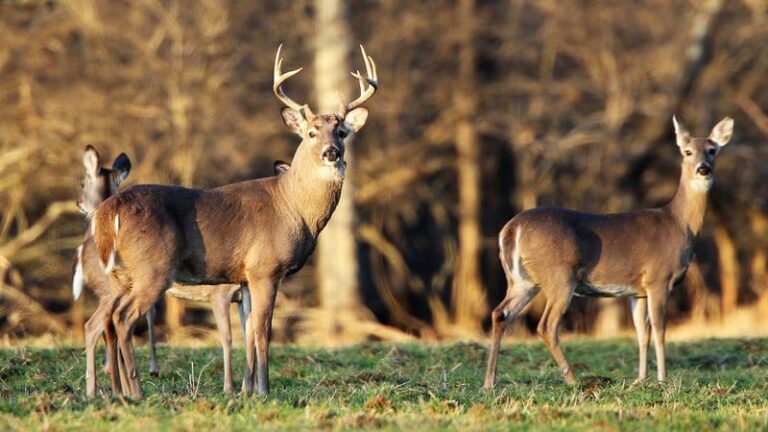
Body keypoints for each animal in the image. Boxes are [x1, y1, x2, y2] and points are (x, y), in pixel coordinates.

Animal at [74, 145, 292, 396]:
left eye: (83, 183)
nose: (79, 203)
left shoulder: (237, 293)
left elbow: (246, 334)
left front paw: (245, 387)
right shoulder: (220, 294)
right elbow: (228, 337)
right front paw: (230, 387)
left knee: (102, 325)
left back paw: (113, 388)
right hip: (112, 288)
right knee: (98, 325)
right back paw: (107, 388)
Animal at [483, 116, 734, 389]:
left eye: (712, 150)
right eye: (687, 151)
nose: (703, 169)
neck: (677, 223)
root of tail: (511, 228)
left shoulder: (638, 291)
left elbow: (641, 333)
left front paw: (641, 379)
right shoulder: (658, 278)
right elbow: (659, 329)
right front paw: (663, 380)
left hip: (523, 280)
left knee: (500, 313)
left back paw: (489, 382)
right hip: (559, 275)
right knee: (546, 325)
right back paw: (573, 379)